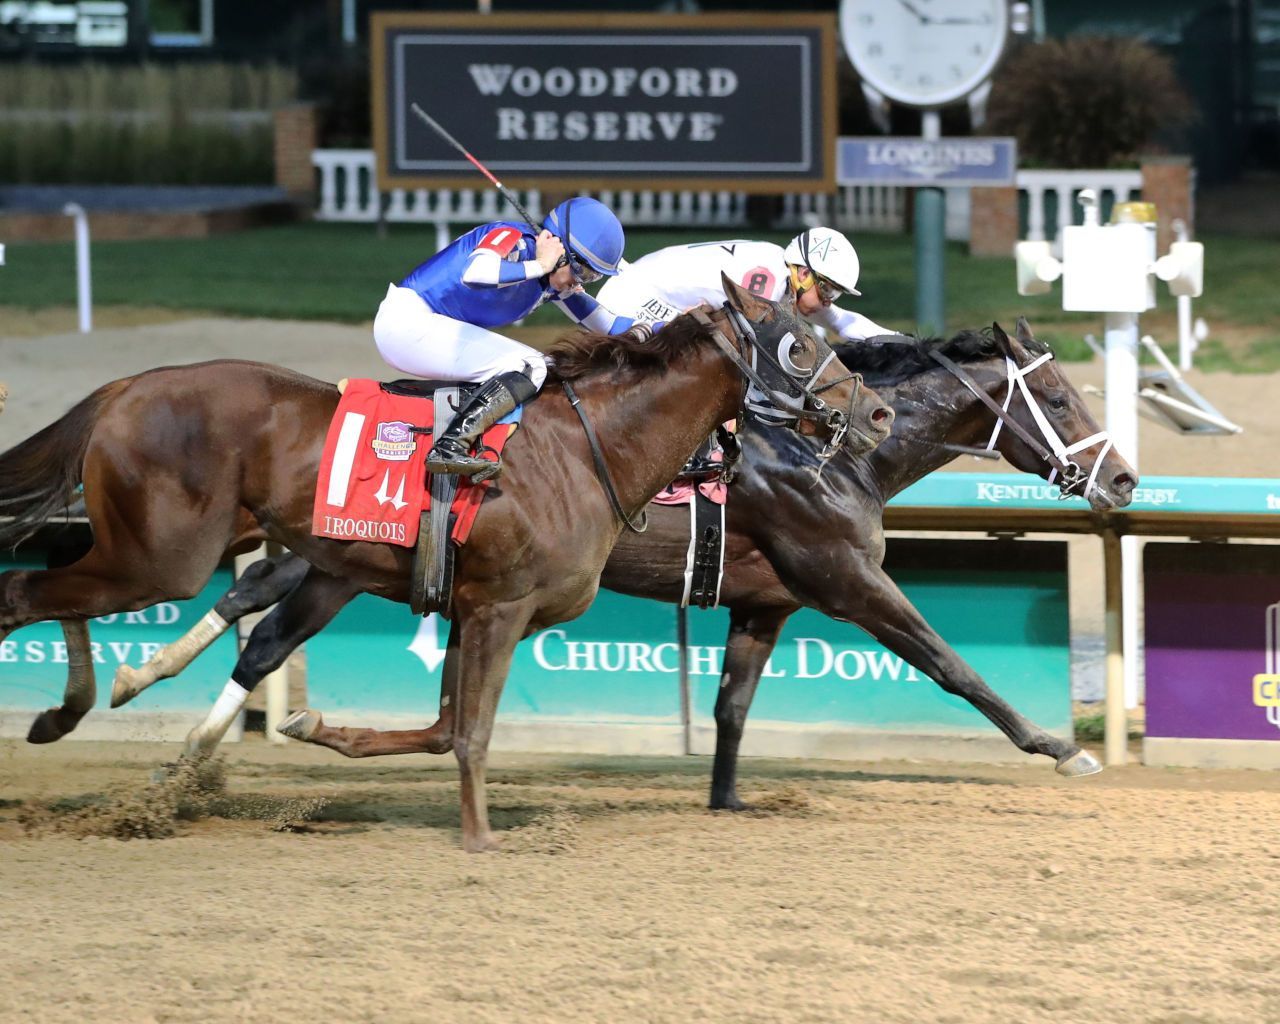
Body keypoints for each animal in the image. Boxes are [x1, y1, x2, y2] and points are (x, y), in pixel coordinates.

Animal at [0, 277, 890, 849]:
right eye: (799, 345)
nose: (877, 412)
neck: (588, 449)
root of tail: (124, 388)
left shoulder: (472, 606)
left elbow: (441, 729)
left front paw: (314, 725)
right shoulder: (502, 607)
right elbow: (472, 734)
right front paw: (480, 836)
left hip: (189, 551)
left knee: (61, 588)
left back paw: (84, 708)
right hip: (164, 557)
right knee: (28, 590)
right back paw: (85, 708)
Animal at [107, 316, 1131, 793]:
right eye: (1063, 400)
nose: (1121, 481)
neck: (838, 450)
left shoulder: (768, 600)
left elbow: (731, 707)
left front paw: (727, 801)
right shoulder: (846, 578)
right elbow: (954, 667)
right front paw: (1057, 748)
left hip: (347, 561)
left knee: (261, 616)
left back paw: (169, 723)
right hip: (350, 562)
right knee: (260, 619)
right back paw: (163, 713)